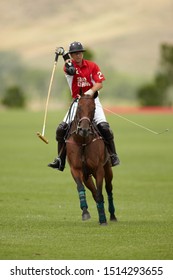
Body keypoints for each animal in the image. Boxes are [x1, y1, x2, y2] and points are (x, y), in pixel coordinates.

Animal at [65, 93, 117, 224]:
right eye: (78, 108)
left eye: (93, 109)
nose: (84, 130)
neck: (82, 142)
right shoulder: (75, 169)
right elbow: (81, 188)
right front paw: (85, 212)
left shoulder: (99, 170)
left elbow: (99, 192)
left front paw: (103, 219)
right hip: (86, 176)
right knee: (93, 191)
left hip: (107, 168)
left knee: (108, 189)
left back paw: (112, 215)